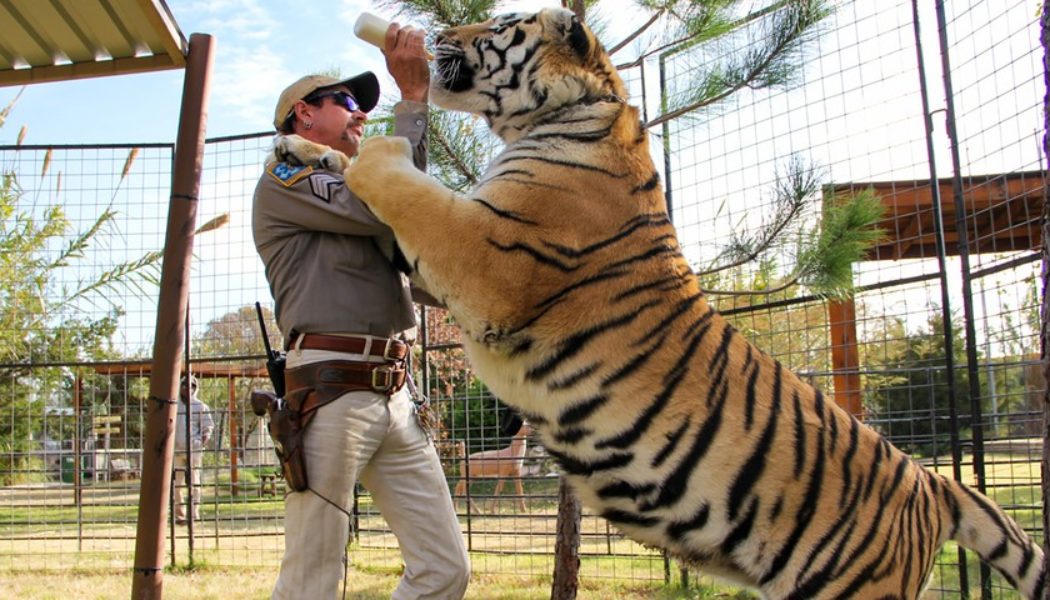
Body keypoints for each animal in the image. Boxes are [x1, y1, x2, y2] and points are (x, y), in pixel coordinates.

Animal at [273, 7, 1046, 599]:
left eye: (494, 25)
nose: (434, 34)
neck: (561, 115)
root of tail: (932, 484)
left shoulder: (486, 257)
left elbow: (402, 183)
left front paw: (367, 148)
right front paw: (300, 148)